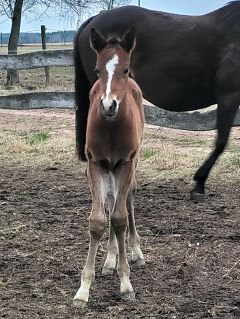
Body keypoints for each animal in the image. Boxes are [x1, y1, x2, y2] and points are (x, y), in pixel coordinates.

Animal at [73, 28, 144, 308]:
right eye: (97, 69)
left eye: (125, 69)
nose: (108, 105)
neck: (113, 129)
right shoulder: (96, 163)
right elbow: (99, 220)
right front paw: (84, 288)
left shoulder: (125, 163)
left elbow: (120, 218)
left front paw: (126, 284)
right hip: (108, 169)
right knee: (112, 200)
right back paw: (111, 259)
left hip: (129, 165)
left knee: (128, 200)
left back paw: (136, 251)